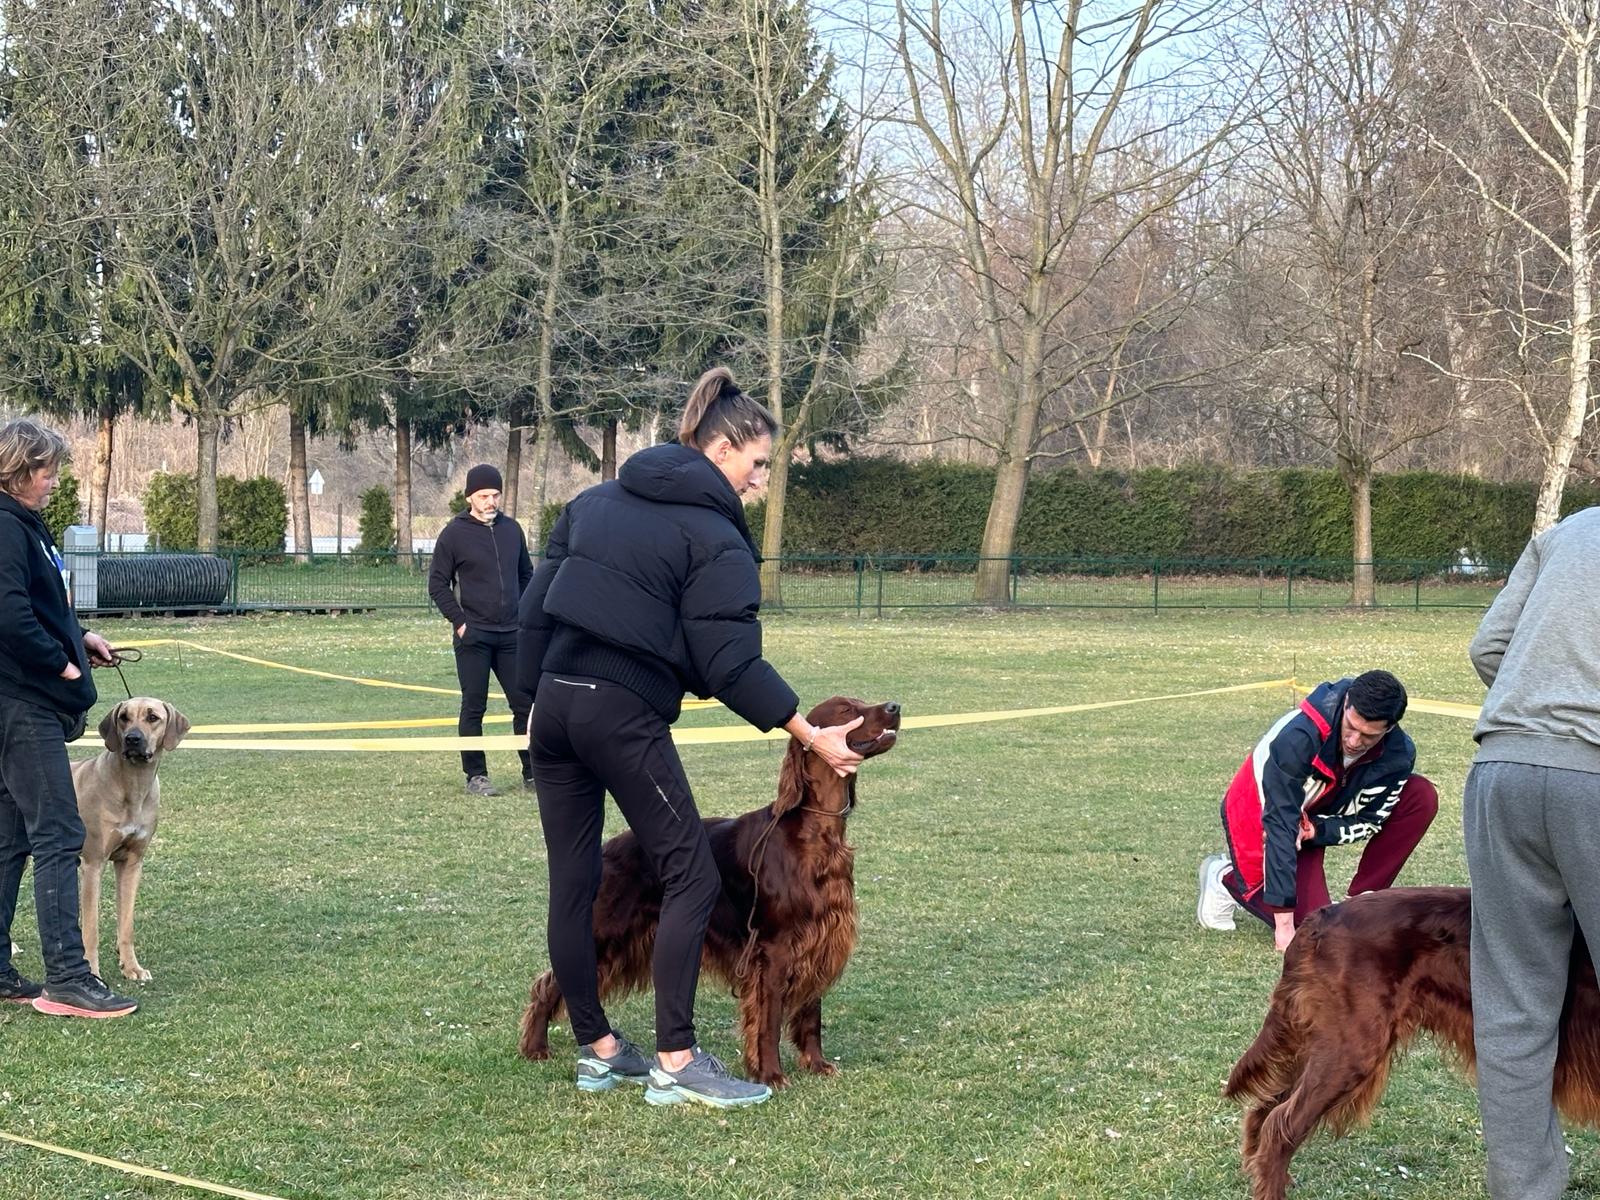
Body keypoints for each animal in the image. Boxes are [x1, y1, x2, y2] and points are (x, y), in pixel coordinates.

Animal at [521, 694, 902, 1088]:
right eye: (846, 709)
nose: (894, 707)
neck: (816, 834)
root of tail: (607, 848)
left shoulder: (819, 937)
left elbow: (811, 1012)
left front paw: (816, 1063)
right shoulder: (775, 949)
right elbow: (769, 1020)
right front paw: (771, 1074)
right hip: (607, 934)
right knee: (549, 984)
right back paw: (535, 1046)